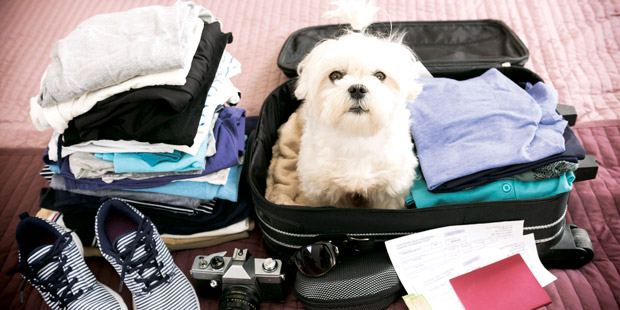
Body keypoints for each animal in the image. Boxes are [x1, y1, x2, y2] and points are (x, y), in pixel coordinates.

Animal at [294, 0, 428, 209]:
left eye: (380, 75)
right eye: (335, 75)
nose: (357, 89)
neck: (357, 137)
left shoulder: (390, 190)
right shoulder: (323, 190)